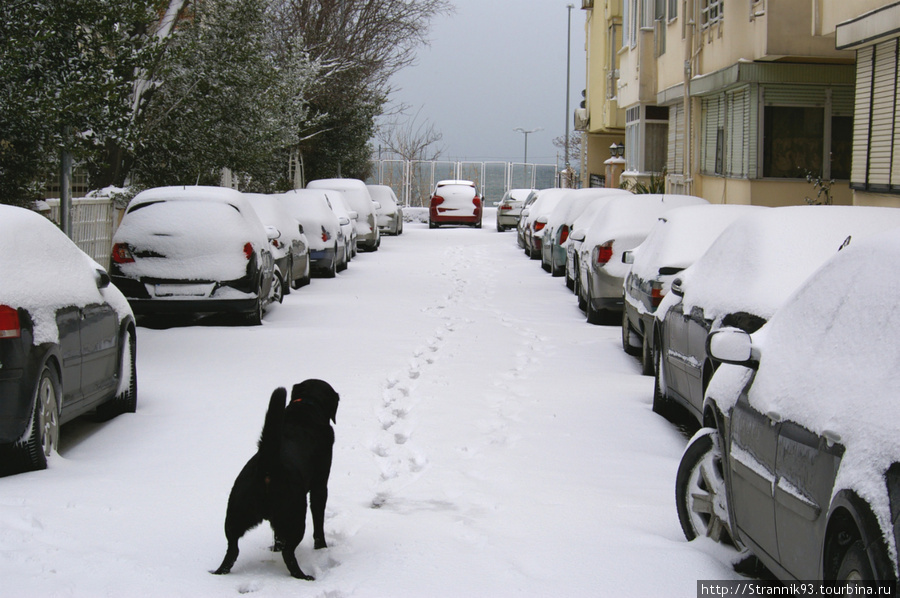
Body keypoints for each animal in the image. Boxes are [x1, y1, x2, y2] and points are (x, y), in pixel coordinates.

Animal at [213, 380, 340, 580]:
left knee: (232, 550)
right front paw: (321, 548)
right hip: (296, 515)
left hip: (235, 514)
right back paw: (304, 577)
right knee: (288, 553)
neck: (306, 405)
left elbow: (278, 536)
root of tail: (267, 466)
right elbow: (318, 522)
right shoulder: (320, 485)